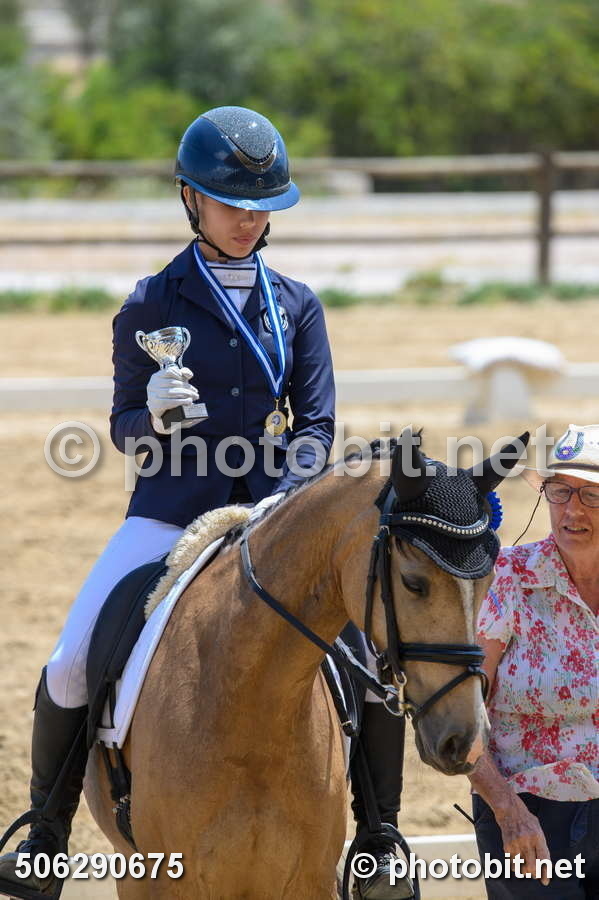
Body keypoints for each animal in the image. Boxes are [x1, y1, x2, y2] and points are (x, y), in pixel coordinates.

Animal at [84, 432, 527, 899]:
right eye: (413, 583)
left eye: (488, 582)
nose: (468, 741)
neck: (249, 706)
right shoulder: (169, 881)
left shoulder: (309, 879)